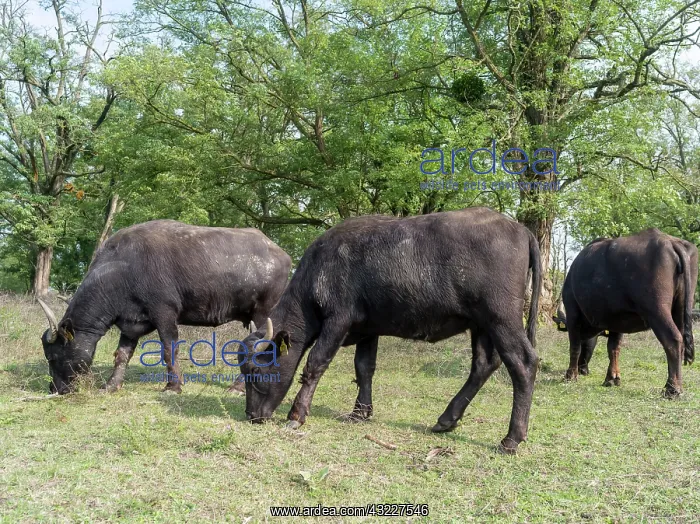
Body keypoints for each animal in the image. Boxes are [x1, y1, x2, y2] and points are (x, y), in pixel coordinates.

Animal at [39, 220, 291, 394]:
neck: (123, 270)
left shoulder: (165, 314)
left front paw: (173, 386)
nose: (55, 388)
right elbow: (122, 355)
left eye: (53, 357)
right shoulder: (130, 324)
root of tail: (282, 255)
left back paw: (238, 386)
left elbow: (169, 350)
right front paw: (111, 385)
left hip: (263, 314)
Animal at [238, 207, 542, 454]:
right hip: (480, 324)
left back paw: (511, 438)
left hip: (501, 318)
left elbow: (315, 363)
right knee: (483, 364)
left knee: (523, 363)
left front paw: (296, 416)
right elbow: (364, 368)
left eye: (255, 371)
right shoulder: (367, 329)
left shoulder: (338, 321)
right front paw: (360, 412)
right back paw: (446, 420)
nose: (252, 415)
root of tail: (521, 230)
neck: (322, 271)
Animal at [559, 229, 697, 396]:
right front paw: (612, 378)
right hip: (682, 308)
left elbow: (575, 345)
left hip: (657, 311)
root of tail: (671, 242)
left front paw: (570, 375)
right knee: (681, 339)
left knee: (673, 339)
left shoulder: (572, 312)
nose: (583, 369)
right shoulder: (616, 321)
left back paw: (672, 388)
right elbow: (613, 348)